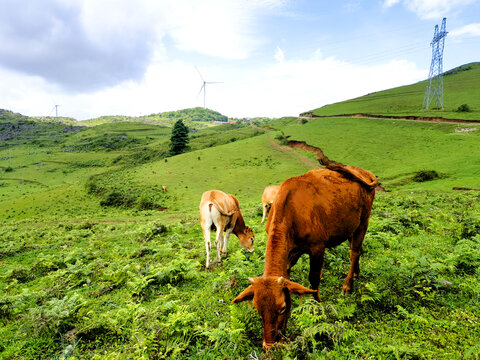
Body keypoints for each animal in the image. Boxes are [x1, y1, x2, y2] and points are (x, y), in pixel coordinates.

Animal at [233, 166, 378, 348]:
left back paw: (347, 285)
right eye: (257, 308)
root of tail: (362, 171)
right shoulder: (288, 257)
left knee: (354, 252)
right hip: (351, 226)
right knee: (356, 248)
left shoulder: (317, 247)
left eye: (281, 308)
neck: (290, 212)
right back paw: (357, 273)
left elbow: (314, 279)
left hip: (363, 221)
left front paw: (317, 307)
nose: (269, 345)